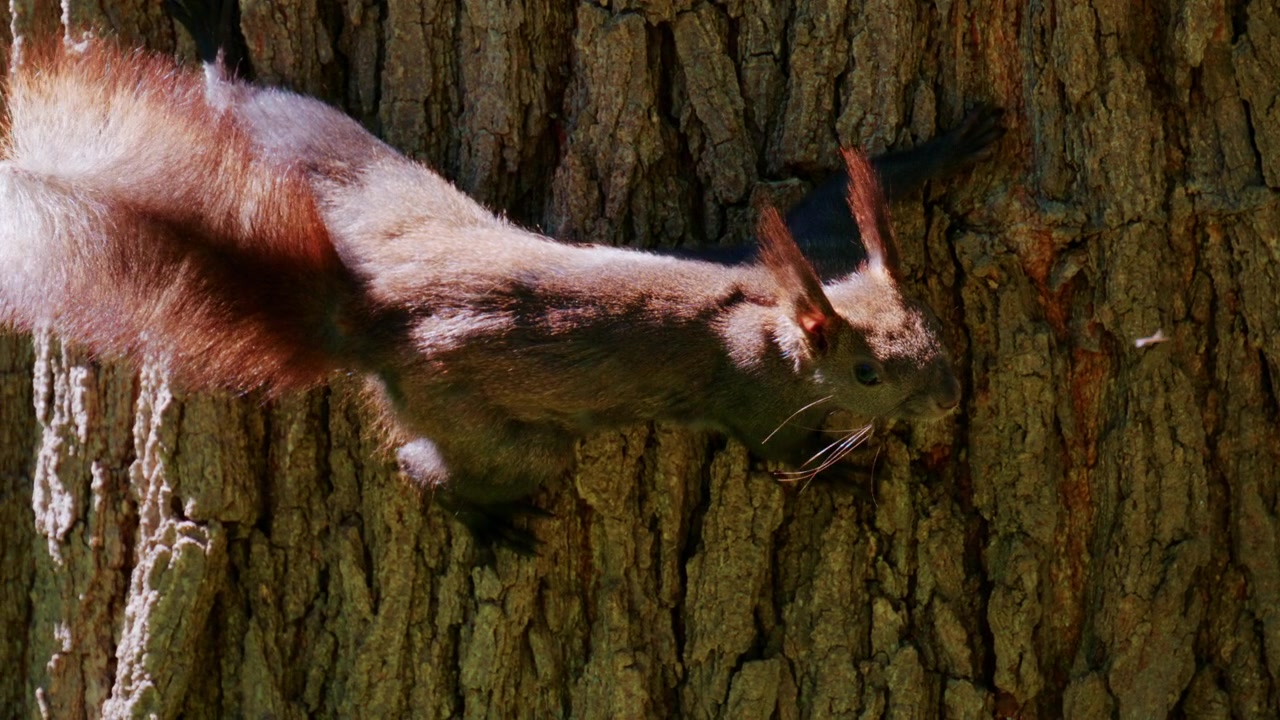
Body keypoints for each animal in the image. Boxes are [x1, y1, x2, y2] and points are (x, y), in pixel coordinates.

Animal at [0, 1, 1004, 553]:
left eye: (928, 320)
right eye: (866, 372)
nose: (950, 398)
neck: (771, 320)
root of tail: (375, 312)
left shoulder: (814, 245)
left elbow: (834, 194)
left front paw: (954, 146)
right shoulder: (754, 401)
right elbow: (785, 460)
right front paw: (849, 473)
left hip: (343, 164)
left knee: (249, 101)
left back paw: (213, 37)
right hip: (493, 427)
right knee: (435, 468)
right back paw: (482, 521)